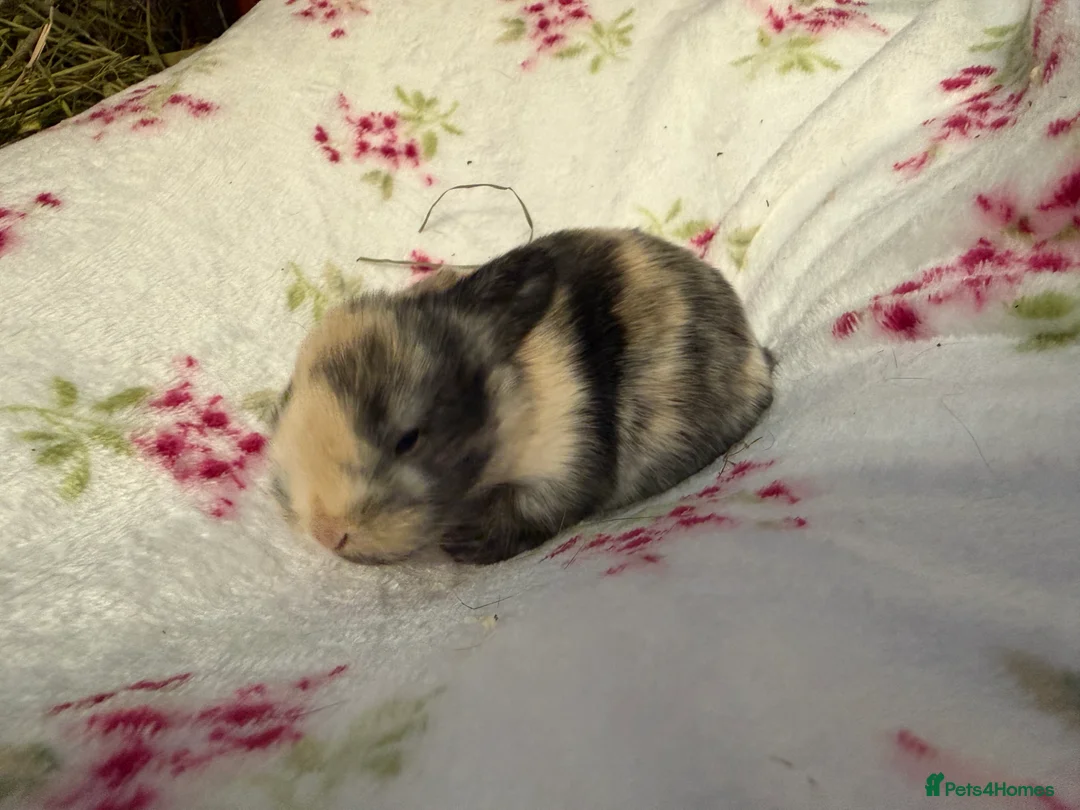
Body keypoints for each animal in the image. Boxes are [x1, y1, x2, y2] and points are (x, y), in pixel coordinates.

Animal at [268, 228, 775, 565]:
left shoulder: (562, 460)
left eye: (407, 439)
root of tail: (758, 357)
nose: (325, 532)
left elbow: (533, 512)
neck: (510, 395)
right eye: (286, 402)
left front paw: (465, 547)